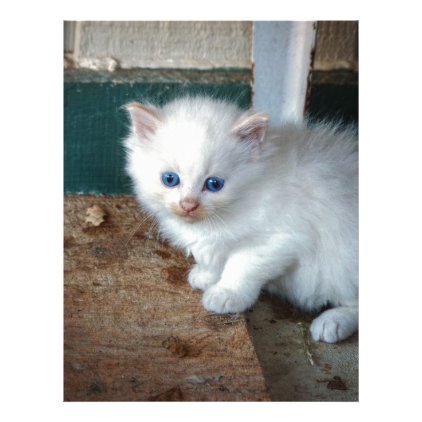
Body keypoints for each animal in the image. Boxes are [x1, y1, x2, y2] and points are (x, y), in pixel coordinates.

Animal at [123, 95, 358, 342]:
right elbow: (211, 257)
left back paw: (332, 323)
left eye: (214, 184)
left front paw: (226, 294)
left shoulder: (279, 238)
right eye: (170, 179)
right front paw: (206, 276)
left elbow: (241, 266)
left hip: (339, 263)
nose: (188, 205)